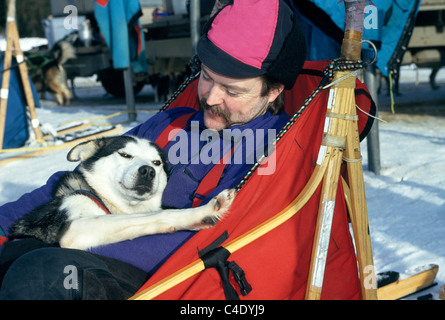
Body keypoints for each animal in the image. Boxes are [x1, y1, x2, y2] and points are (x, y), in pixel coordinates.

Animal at [7, 135, 236, 250]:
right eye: (125, 155)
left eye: (157, 162)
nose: (148, 171)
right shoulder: (74, 230)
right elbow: (161, 214)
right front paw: (203, 211)